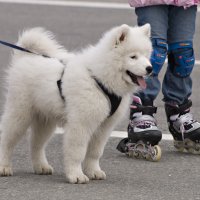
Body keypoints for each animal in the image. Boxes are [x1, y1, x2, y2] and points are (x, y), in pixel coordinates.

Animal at [0, 24, 152, 184]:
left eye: (146, 55)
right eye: (133, 56)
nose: (150, 68)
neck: (100, 79)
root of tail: (25, 57)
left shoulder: (104, 127)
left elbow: (95, 152)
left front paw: (93, 171)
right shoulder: (81, 124)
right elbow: (77, 152)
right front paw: (76, 175)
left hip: (45, 120)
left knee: (36, 144)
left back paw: (41, 166)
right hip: (20, 114)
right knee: (7, 141)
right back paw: (4, 167)